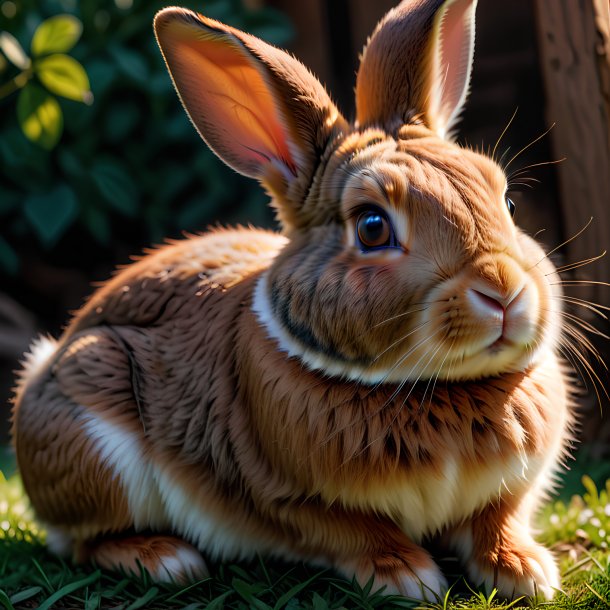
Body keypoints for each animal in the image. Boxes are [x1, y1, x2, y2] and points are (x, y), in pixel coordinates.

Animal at [9, 0, 572, 600]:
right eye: (372, 227)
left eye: (506, 201)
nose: (504, 291)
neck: (430, 386)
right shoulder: (289, 498)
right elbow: (354, 532)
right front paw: (407, 576)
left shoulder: (510, 490)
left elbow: (497, 519)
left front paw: (525, 570)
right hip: (94, 408)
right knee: (85, 541)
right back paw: (164, 558)